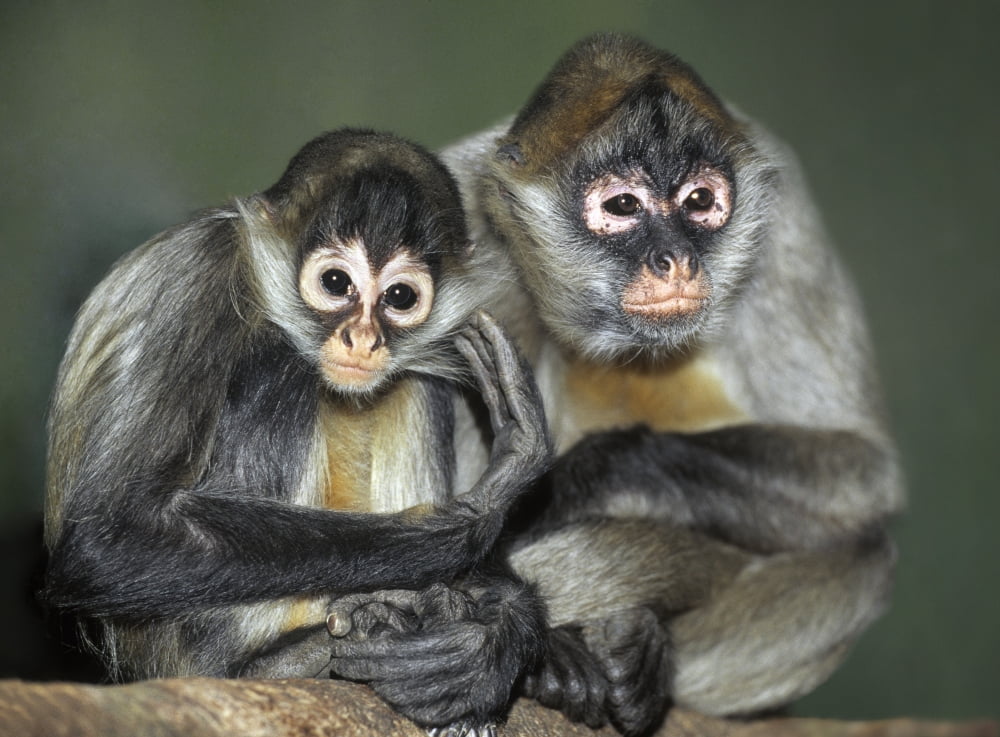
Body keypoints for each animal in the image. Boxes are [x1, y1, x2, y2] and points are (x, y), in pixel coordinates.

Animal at [42, 128, 551, 732]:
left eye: (400, 297)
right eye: (335, 283)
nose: (363, 338)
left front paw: (495, 636)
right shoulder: (200, 268)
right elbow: (109, 538)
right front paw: (477, 512)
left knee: (412, 380)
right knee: (283, 366)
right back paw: (284, 661)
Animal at [323, 34, 903, 736]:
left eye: (701, 201)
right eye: (622, 206)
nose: (675, 259)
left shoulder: (783, 221)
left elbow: (867, 474)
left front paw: (567, 494)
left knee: (868, 557)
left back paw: (641, 655)